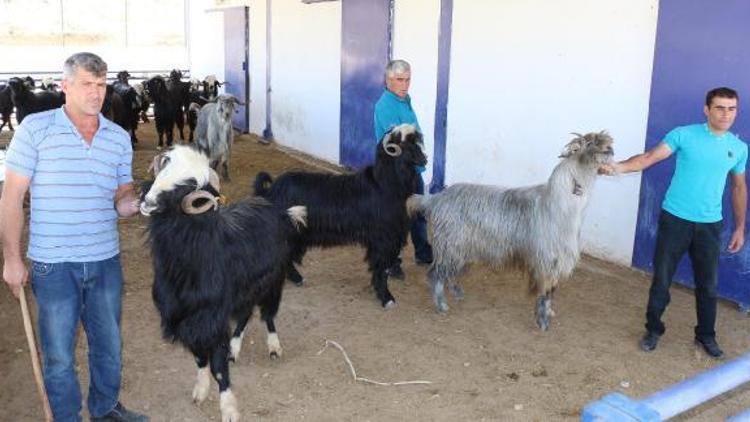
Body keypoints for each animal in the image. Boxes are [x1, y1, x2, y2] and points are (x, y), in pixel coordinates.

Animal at [140, 146, 306, 422]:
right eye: (162, 169)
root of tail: (278, 211)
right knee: (245, 315)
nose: (147, 202)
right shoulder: (189, 318)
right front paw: (200, 390)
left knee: (268, 314)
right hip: (246, 290)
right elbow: (200, 358)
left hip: (272, 281)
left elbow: (217, 366)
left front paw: (228, 408)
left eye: (186, 187)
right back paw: (235, 348)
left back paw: (273, 346)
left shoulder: (213, 316)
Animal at [254, 123, 426, 308]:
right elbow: (381, 268)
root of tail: (271, 190)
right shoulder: (383, 239)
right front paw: (386, 298)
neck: (384, 184)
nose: (425, 160)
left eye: (416, 141)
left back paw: (297, 278)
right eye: (404, 144)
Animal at [412, 131, 616, 330]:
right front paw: (542, 321)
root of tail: (435, 199)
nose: (610, 147)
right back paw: (441, 304)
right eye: (589, 142)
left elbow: (552, 291)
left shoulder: (555, 262)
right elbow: (545, 293)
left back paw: (457, 293)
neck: (559, 203)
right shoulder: (547, 261)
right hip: (449, 246)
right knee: (435, 274)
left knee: (450, 273)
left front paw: (548, 313)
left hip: (461, 248)